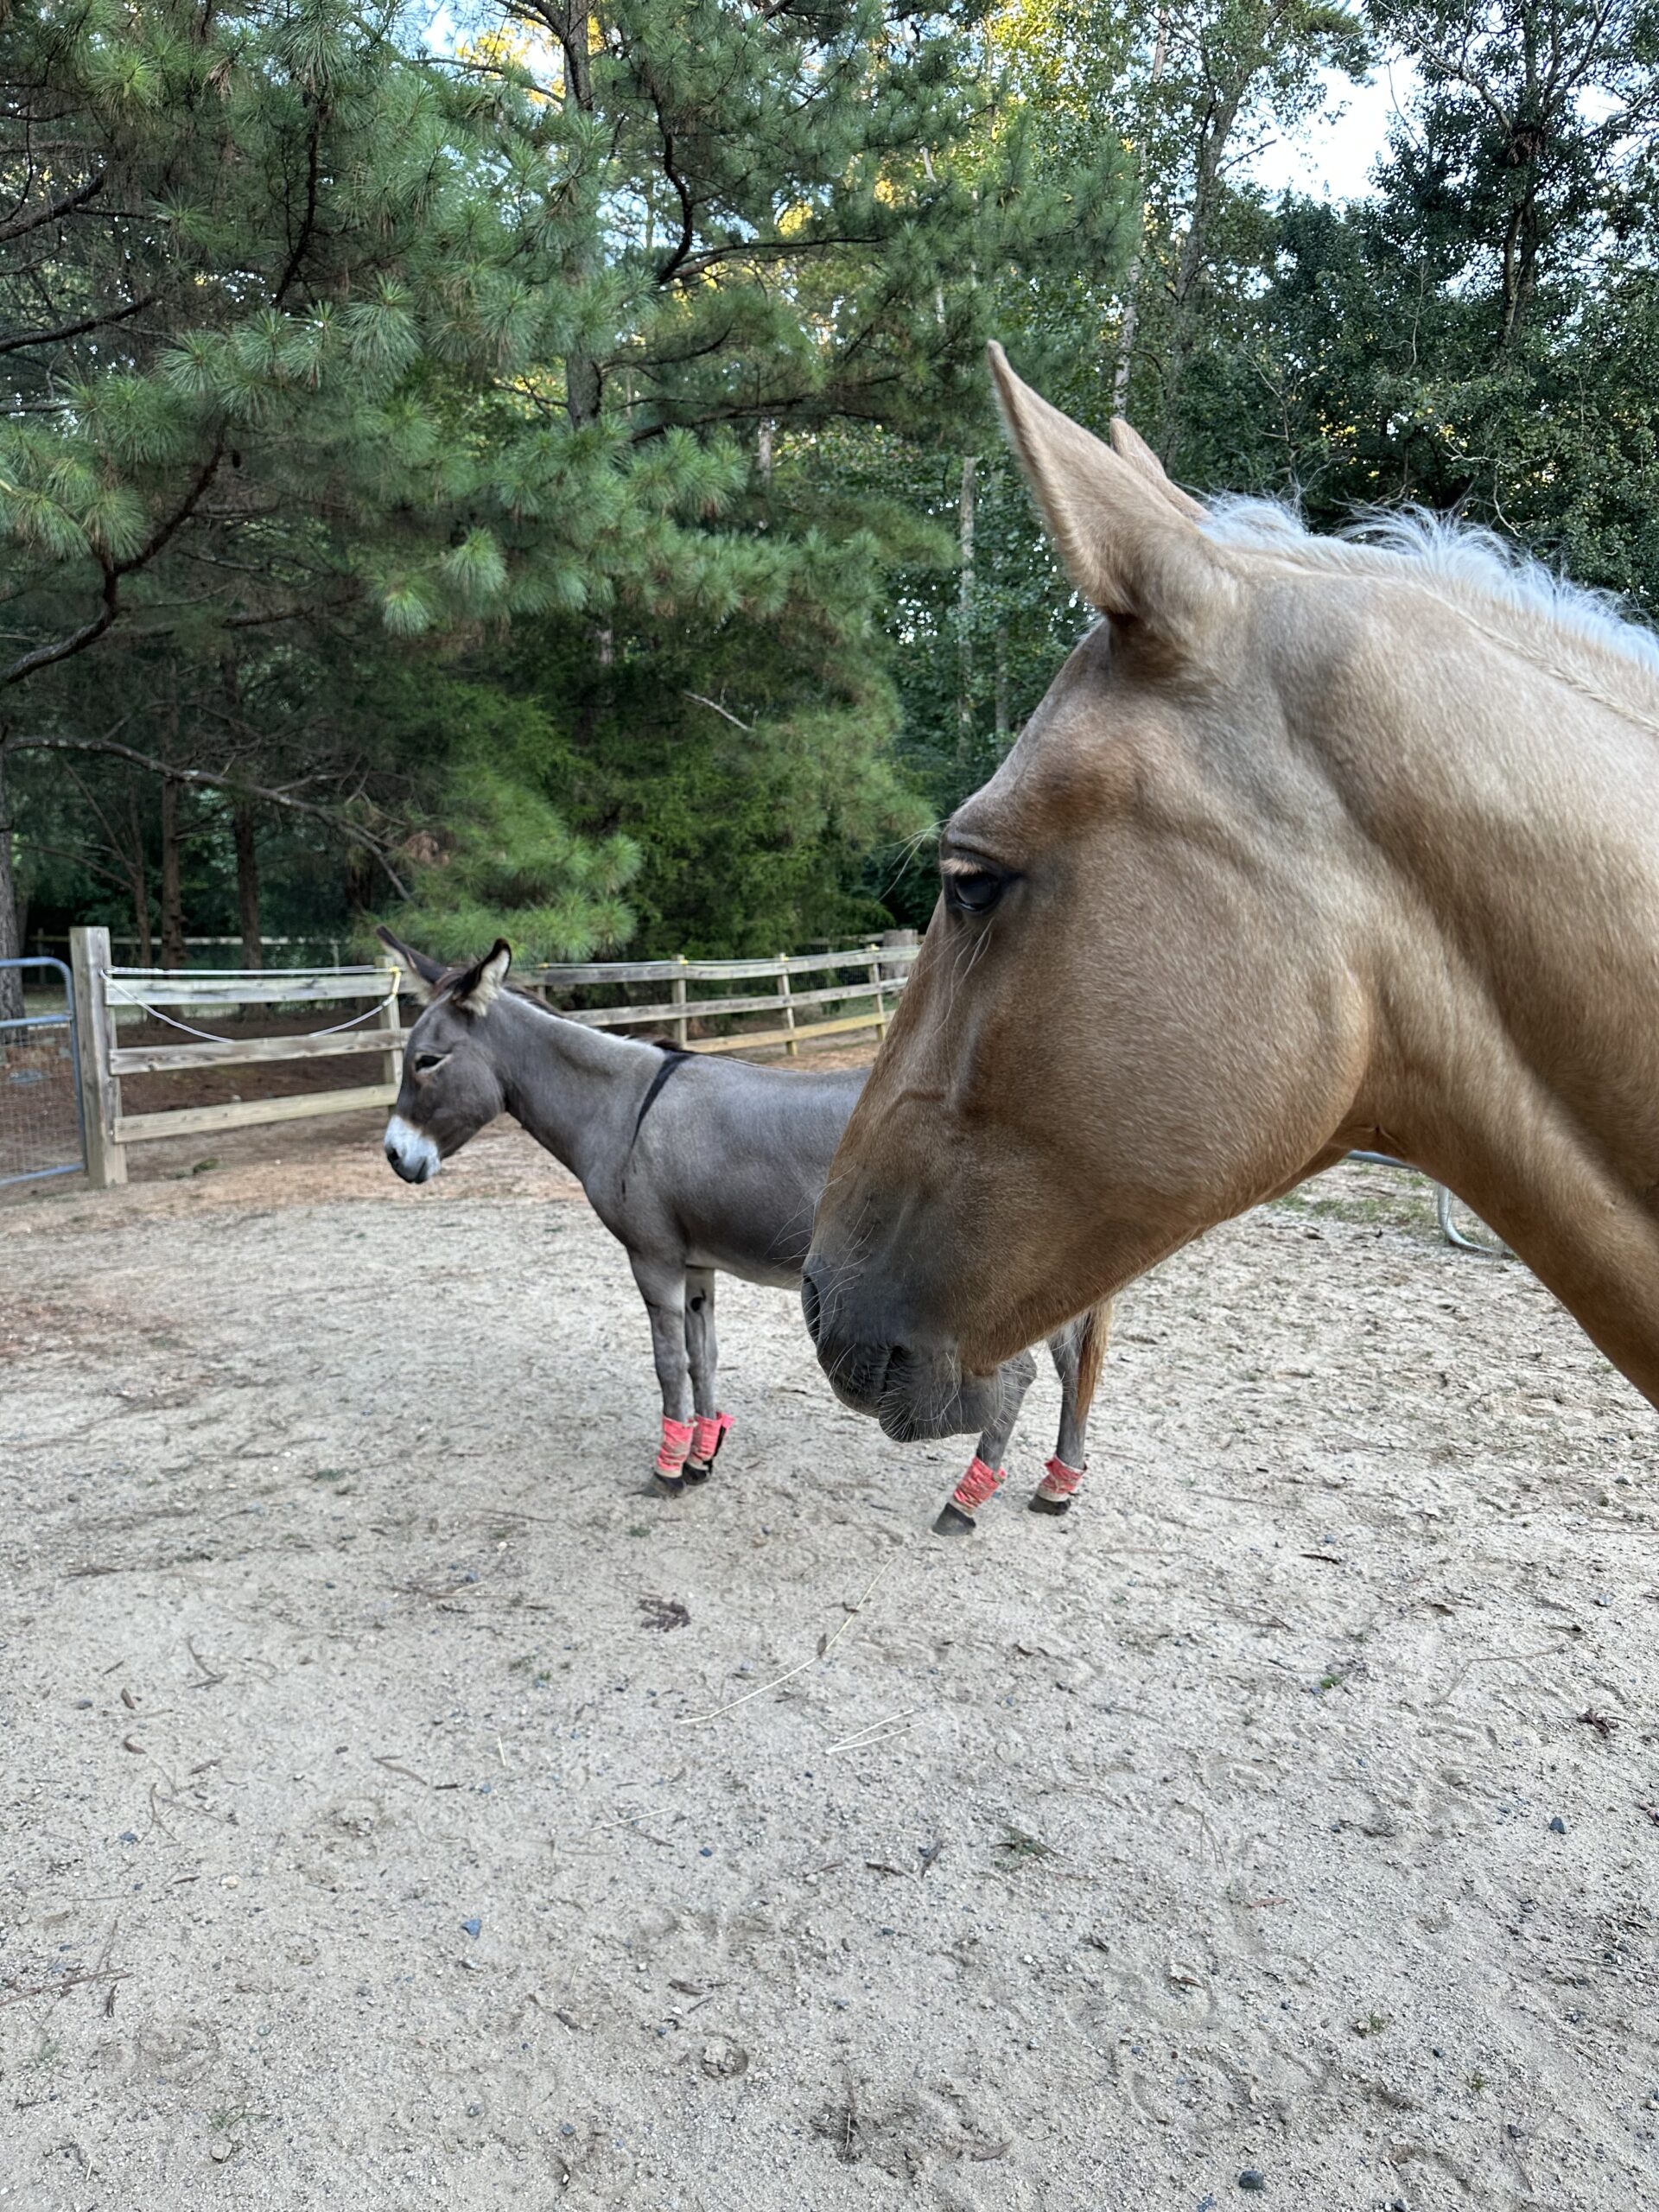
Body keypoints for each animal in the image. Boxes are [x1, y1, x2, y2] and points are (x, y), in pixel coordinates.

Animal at [382, 925, 1110, 1530]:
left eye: (426, 1061)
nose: (394, 1156)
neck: (623, 1105)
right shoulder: (697, 1263)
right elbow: (703, 1356)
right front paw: (703, 1457)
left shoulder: (652, 1258)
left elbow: (667, 1364)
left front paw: (667, 1472)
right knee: (1072, 1368)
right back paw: (1056, 1487)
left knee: (1022, 1375)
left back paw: (964, 1502)